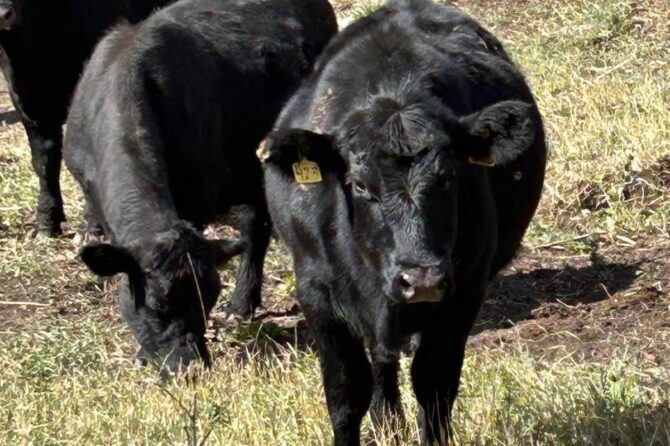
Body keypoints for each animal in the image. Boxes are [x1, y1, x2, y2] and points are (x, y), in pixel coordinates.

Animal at [260, 0, 547, 444]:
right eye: (360, 185)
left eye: (449, 176)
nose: (422, 280)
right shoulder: (316, 291)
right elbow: (345, 391)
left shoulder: (464, 291)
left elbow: (434, 384)